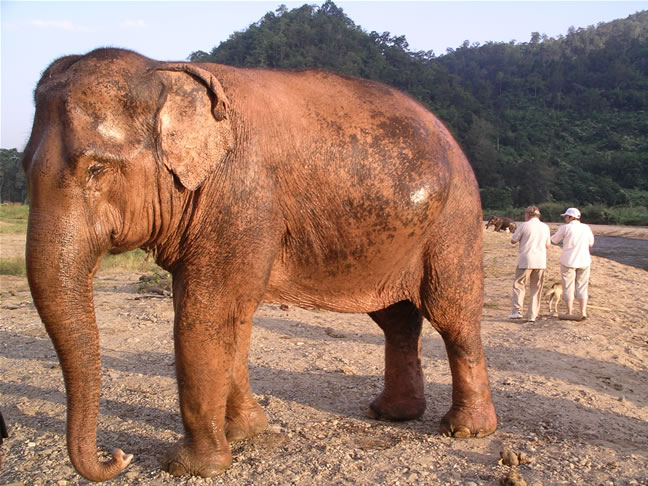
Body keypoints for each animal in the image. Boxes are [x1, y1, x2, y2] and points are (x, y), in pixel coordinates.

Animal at [22, 48, 497, 481]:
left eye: (96, 169)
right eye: (24, 166)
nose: (119, 457)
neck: (163, 68)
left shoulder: (242, 195)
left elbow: (204, 314)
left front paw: (191, 466)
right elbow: (233, 316)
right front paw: (244, 433)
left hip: (457, 219)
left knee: (452, 315)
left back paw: (467, 431)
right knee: (396, 320)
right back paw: (391, 414)